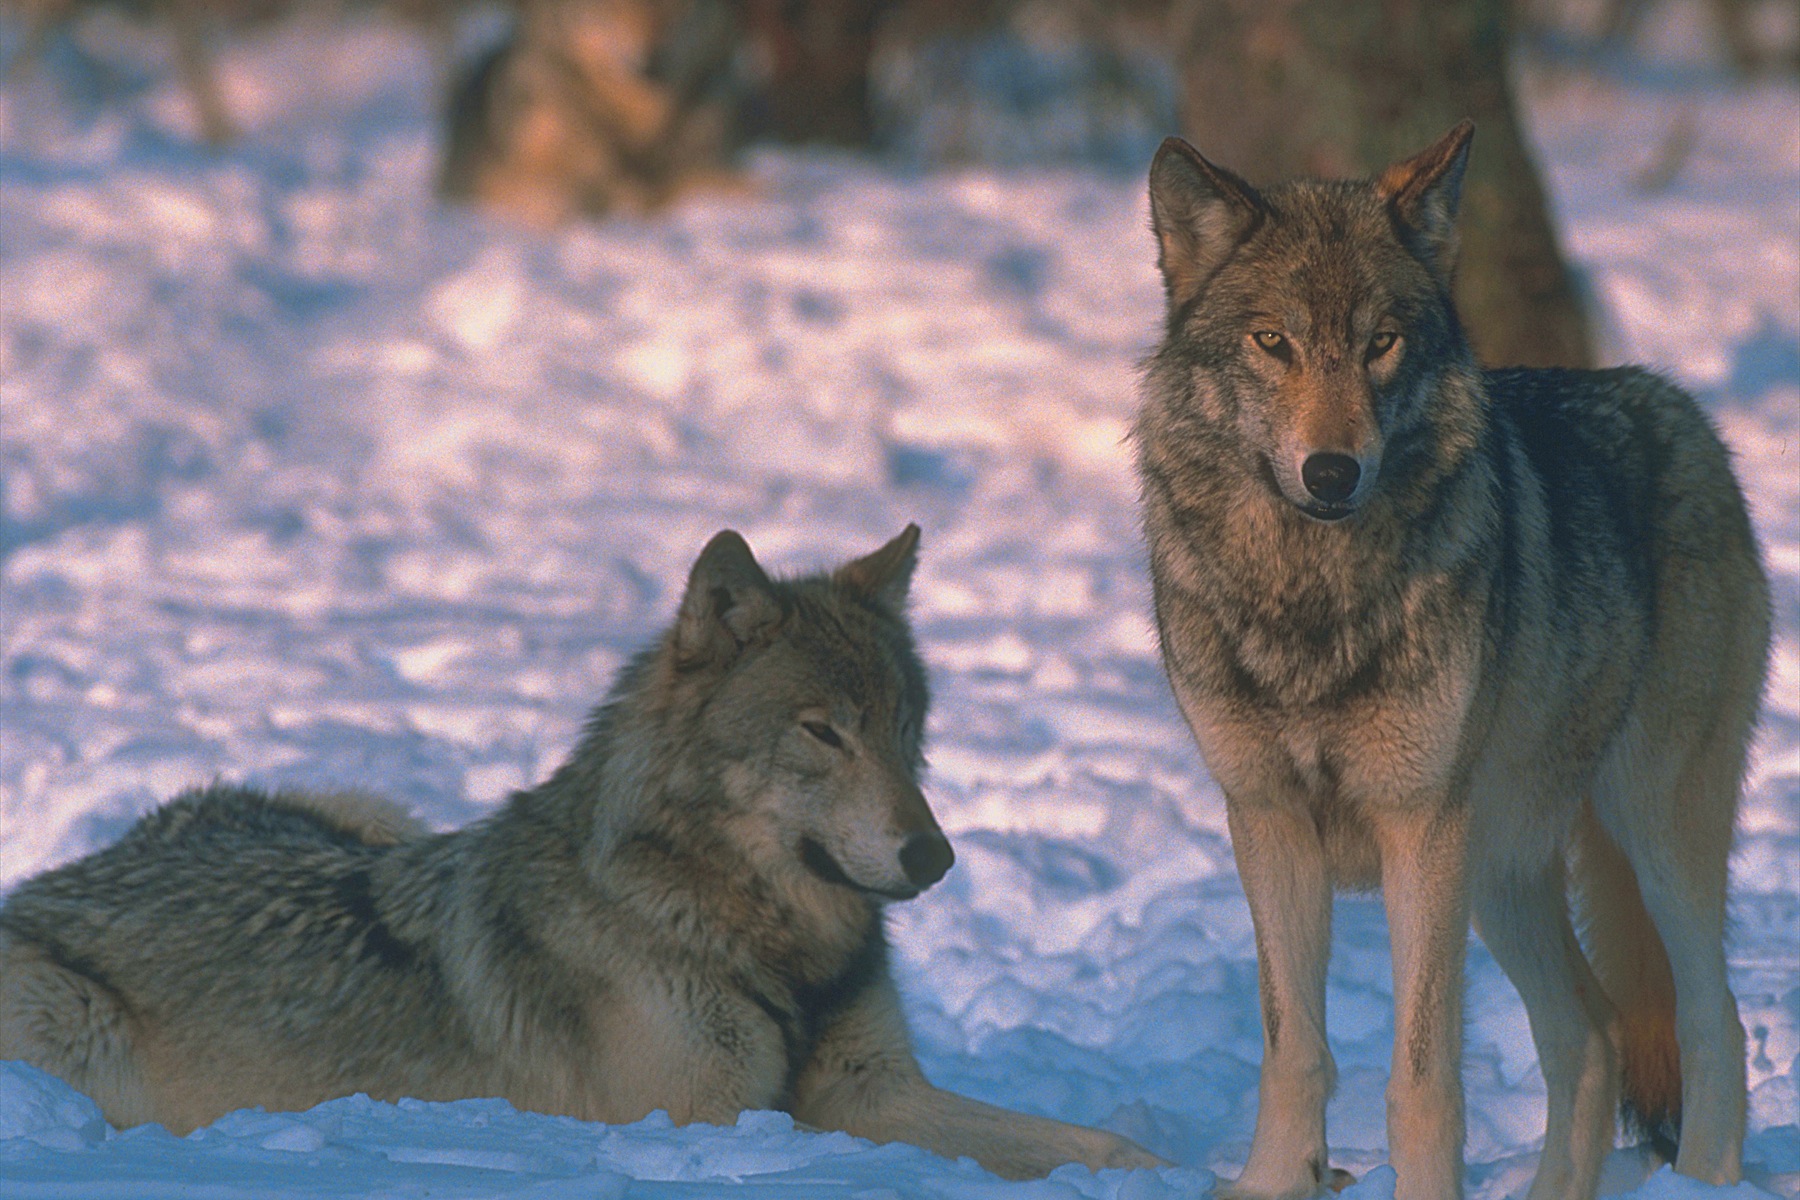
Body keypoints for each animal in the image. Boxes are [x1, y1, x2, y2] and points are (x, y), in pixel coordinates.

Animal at [0, 528, 1166, 1180]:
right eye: (821, 732)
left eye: (904, 726)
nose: (934, 857)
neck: (748, 934)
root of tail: (56, 875)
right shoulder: (719, 1118)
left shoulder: (872, 1092)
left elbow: (1081, 1143)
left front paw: (1161, 1164)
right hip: (78, 1032)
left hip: (365, 806)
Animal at [1137, 124, 1771, 1200]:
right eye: (1274, 342)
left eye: (1381, 343)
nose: (1332, 473)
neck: (1311, 599)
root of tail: (1681, 409)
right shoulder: (1266, 824)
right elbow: (1293, 1052)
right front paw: (1270, 1180)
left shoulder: (1418, 829)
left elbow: (1422, 1080)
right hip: (1504, 870)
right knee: (1593, 1036)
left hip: (1646, 830)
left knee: (1711, 1022)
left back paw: (1705, 1177)